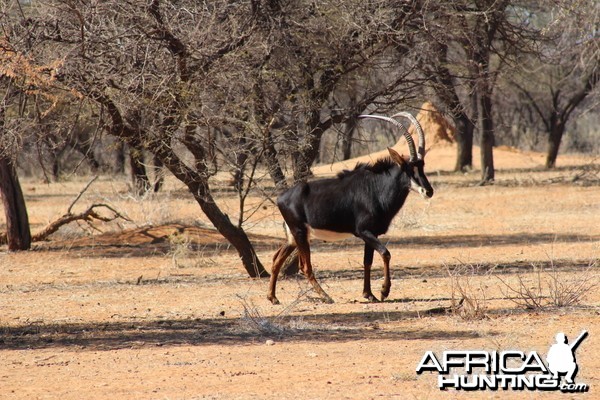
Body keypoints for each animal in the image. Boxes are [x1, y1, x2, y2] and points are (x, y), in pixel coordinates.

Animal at [270, 111, 434, 304]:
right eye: (408, 169)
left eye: (422, 167)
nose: (428, 191)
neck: (376, 188)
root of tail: (281, 197)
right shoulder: (364, 231)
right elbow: (385, 253)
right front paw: (384, 291)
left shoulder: (372, 234)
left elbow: (367, 261)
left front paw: (369, 294)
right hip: (300, 233)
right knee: (305, 266)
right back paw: (326, 297)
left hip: (293, 237)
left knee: (276, 259)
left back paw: (272, 297)